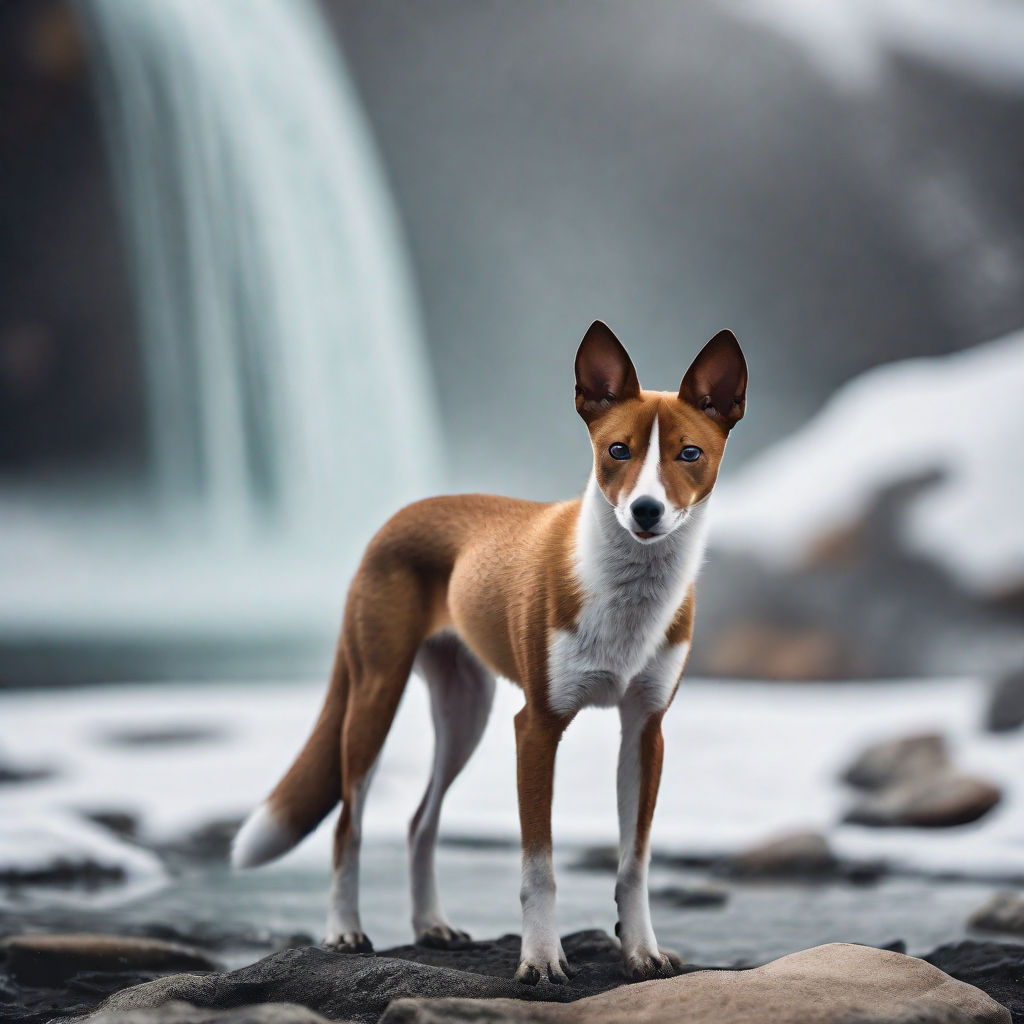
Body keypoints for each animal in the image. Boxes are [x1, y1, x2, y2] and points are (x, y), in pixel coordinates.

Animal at [230, 321, 745, 983]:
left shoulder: (645, 729)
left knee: (419, 822)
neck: (627, 595)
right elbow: (539, 869)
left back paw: (432, 926)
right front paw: (541, 961)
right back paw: (344, 932)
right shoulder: (537, 726)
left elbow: (634, 864)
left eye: (689, 454)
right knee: (349, 824)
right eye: (618, 451)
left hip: (464, 715)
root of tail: (396, 516)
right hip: (376, 699)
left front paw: (641, 953)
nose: (646, 510)